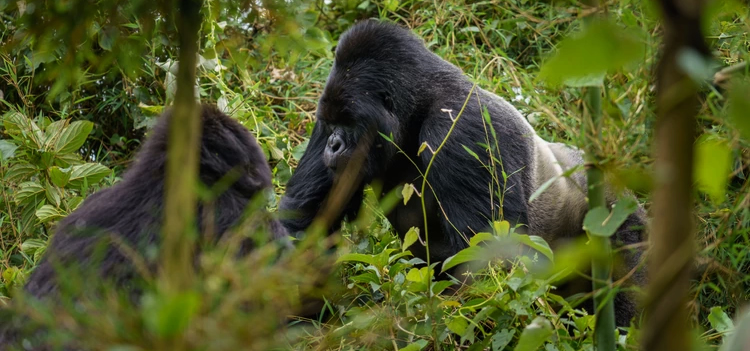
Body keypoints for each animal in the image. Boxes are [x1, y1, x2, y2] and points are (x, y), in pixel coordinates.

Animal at [282, 20, 648, 328]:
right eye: (331, 123)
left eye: (349, 123)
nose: (333, 145)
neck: (417, 106)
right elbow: (306, 218)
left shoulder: (461, 129)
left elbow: (486, 261)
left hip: (615, 214)